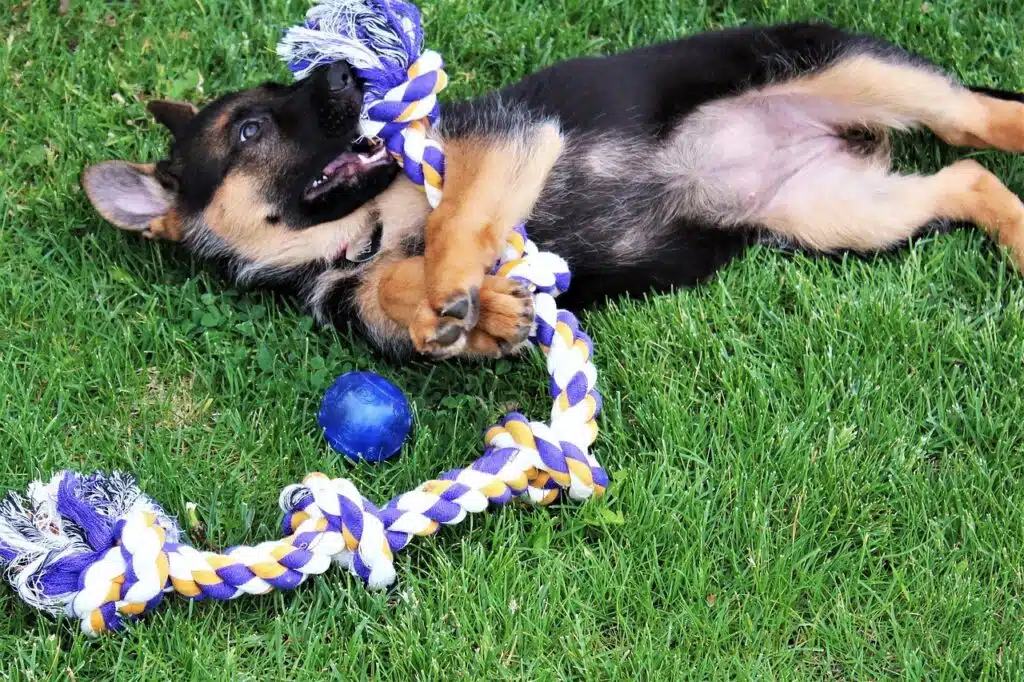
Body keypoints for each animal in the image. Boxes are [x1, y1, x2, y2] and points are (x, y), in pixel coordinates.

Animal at [81, 23, 1024, 358]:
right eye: (248, 130)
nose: (348, 74)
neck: (360, 231)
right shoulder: (357, 285)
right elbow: (395, 297)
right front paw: (469, 315)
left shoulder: (506, 139)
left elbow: (455, 225)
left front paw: (457, 289)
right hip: (835, 212)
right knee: (966, 177)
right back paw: (1015, 232)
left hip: (845, 70)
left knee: (976, 123)